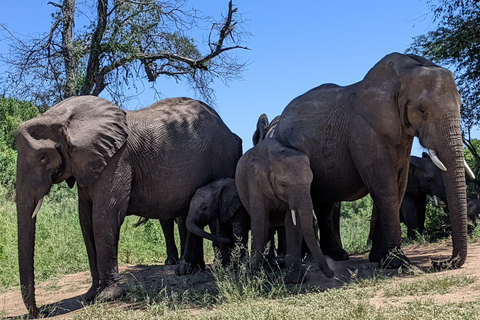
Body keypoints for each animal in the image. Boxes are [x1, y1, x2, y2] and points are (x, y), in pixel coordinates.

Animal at [16, 95, 242, 318]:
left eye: (43, 157)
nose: (42, 312)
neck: (64, 117)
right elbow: (86, 221)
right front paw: (90, 296)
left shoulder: (117, 160)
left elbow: (104, 217)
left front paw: (108, 296)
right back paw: (190, 270)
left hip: (223, 159)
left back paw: (218, 268)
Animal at [235, 138, 334, 282]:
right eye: (284, 184)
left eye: (311, 182)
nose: (331, 273)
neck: (274, 157)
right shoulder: (254, 181)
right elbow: (260, 221)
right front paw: (254, 276)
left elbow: (293, 223)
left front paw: (295, 278)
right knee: (267, 225)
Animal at [274, 52, 472, 270]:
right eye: (421, 110)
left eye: (461, 107)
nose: (439, 262)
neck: (400, 75)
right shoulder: (364, 132)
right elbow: (385, 187)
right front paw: (398, 263)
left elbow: (398, 186)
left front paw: (380, 258)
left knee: (324, 203)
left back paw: (337, 256)